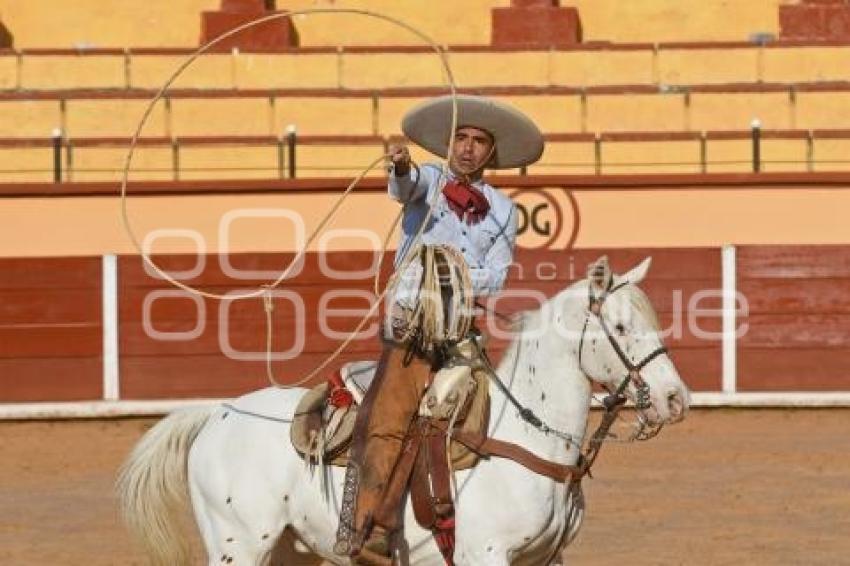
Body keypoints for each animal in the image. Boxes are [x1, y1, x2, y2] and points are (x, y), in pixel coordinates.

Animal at [116, 258, 688, 566]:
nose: (675, 399)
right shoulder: (486, 554)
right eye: (620, 327)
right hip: (235, 544)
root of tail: (218, 414)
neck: (526, 442)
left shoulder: (544, 558)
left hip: (287, 546)